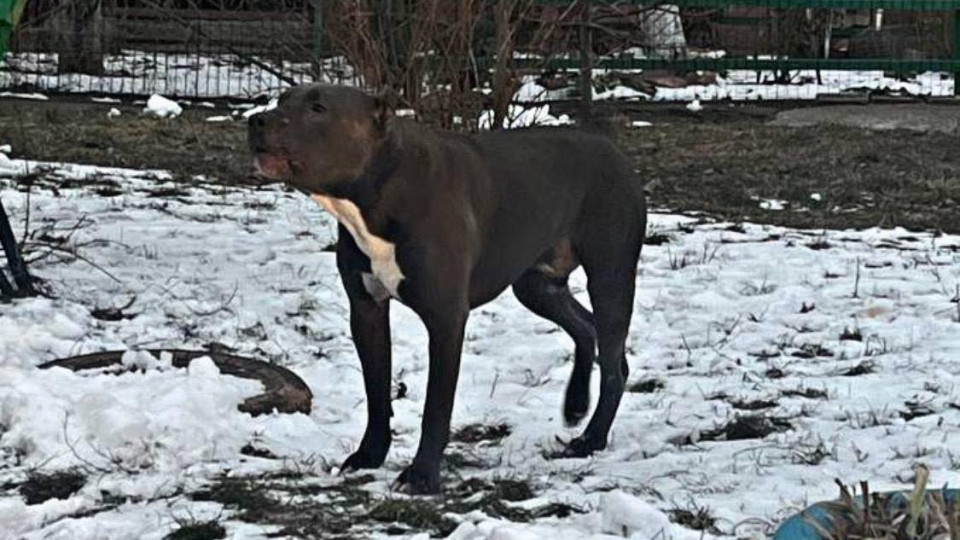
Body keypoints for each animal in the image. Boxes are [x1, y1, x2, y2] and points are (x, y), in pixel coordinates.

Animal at [248, 86, 644, 496]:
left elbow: (436, 407)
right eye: (282, 100)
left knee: (612, 363)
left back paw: (592, 439)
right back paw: (576, 405)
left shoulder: (445, 318)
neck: (380, 190)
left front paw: (422, 475)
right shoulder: (367, 310)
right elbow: (377, 392)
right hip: (536, 285)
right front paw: (370, 455)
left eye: (318, 107)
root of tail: (612, 149)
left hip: (610, 276)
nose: (256, 119)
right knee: (586, 328)